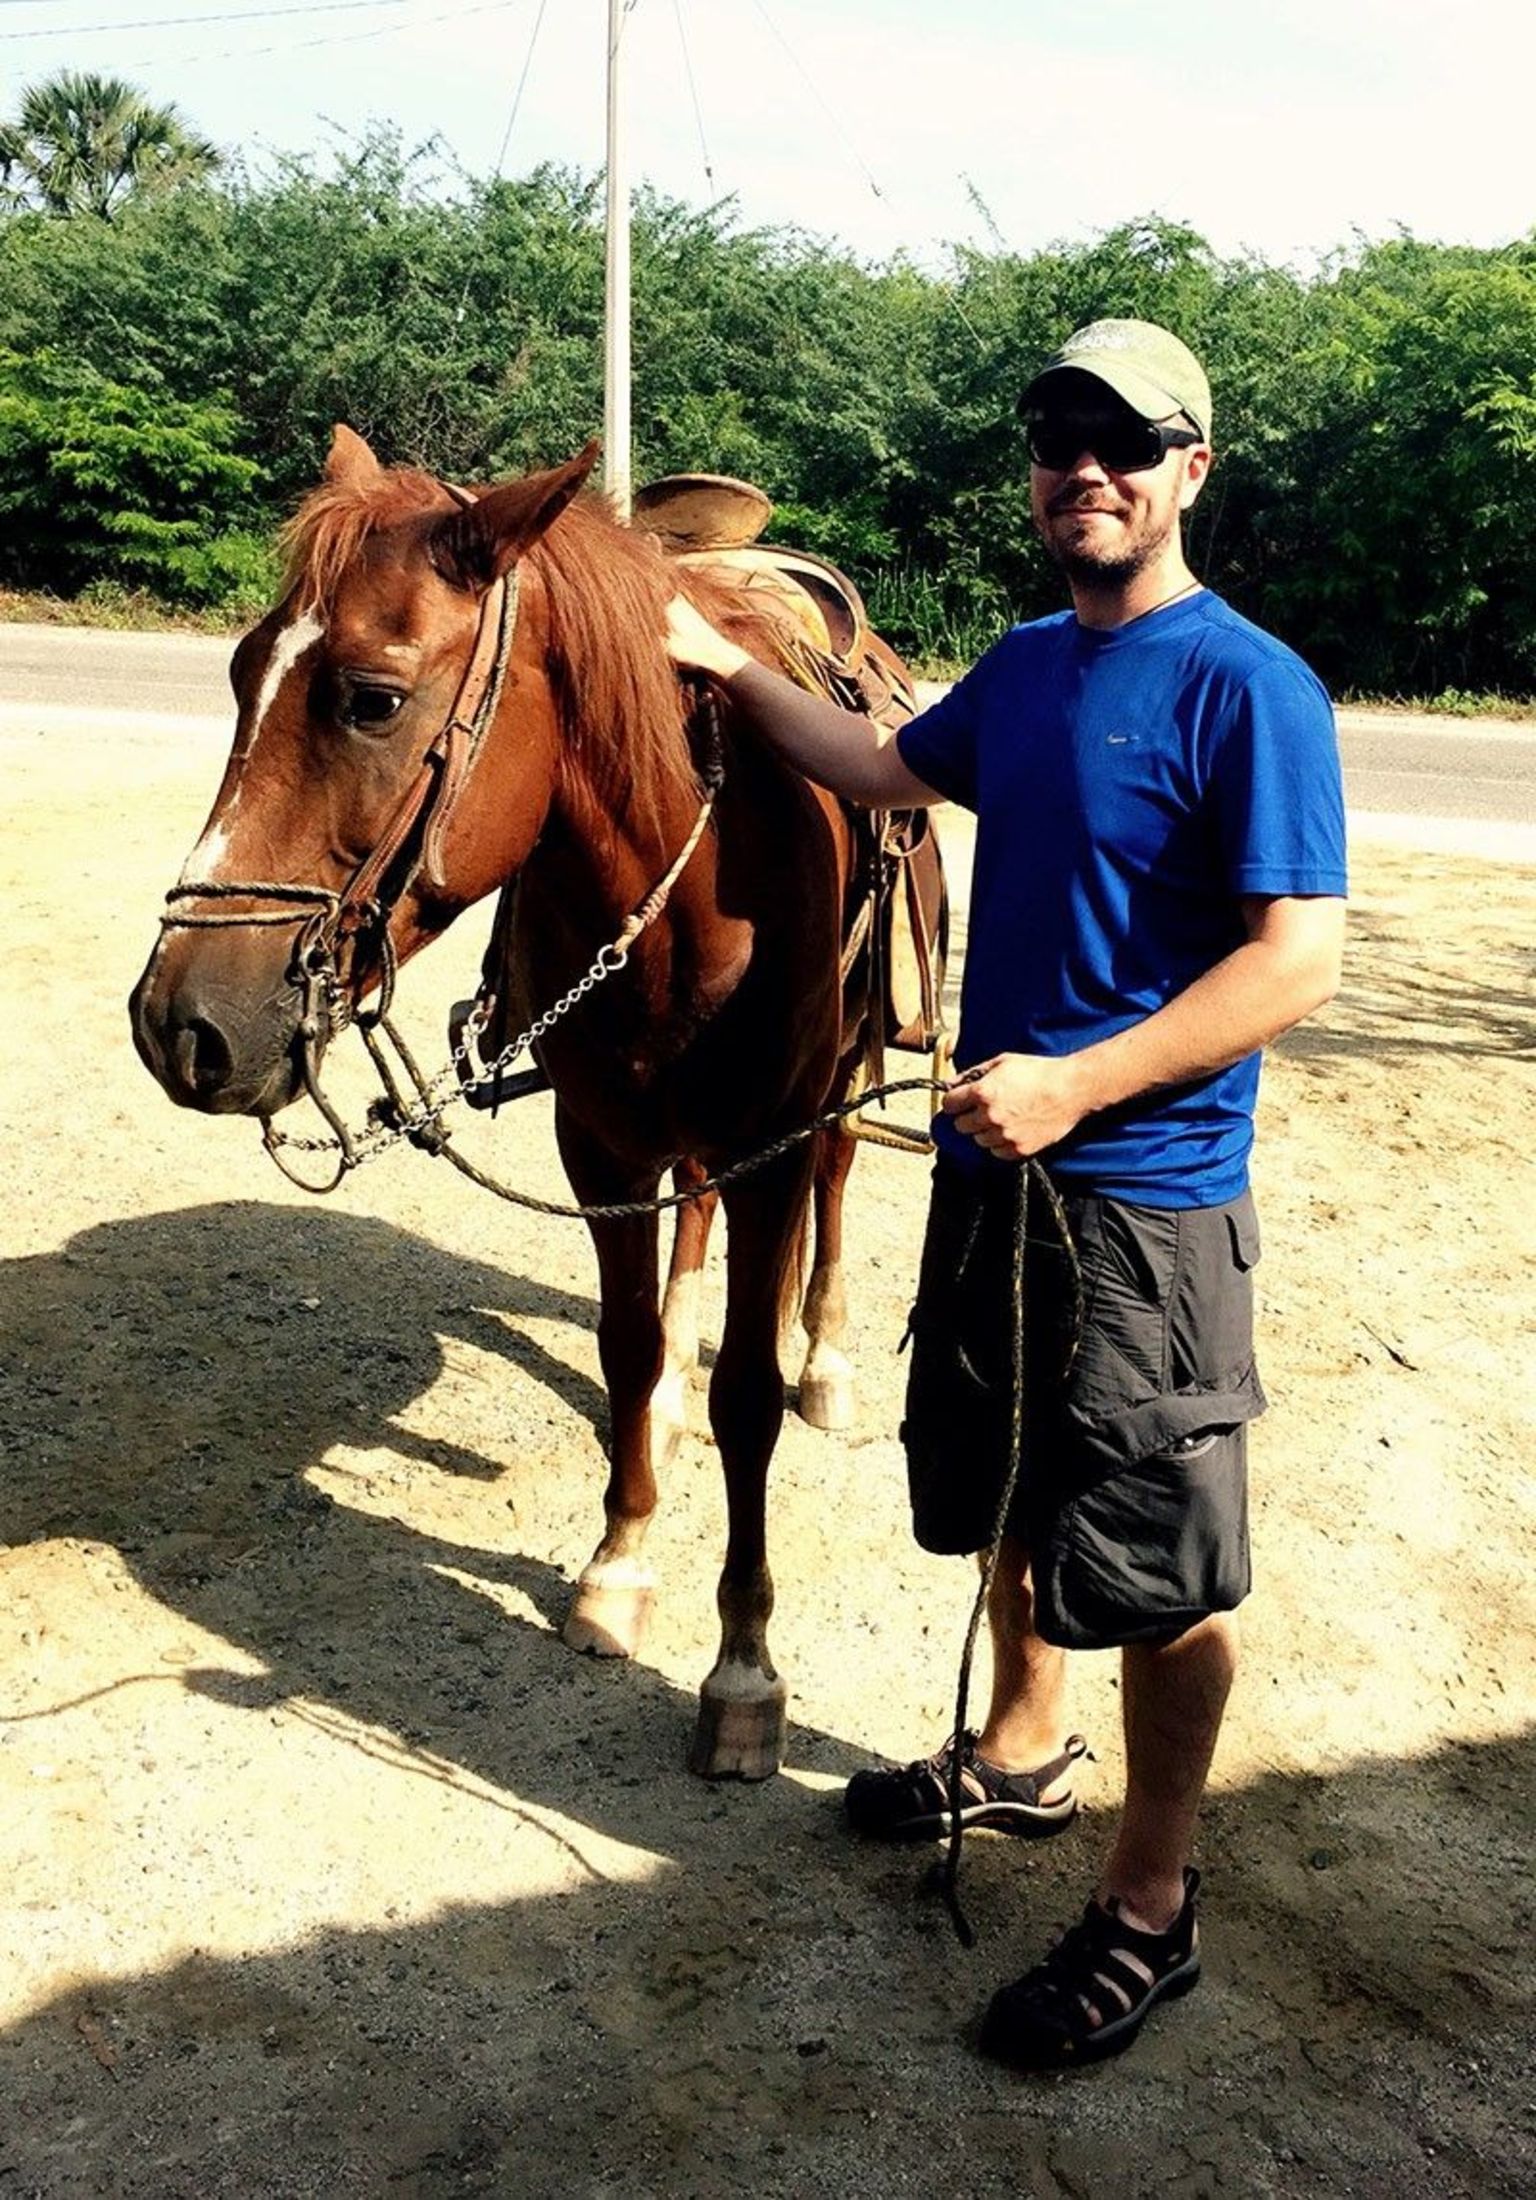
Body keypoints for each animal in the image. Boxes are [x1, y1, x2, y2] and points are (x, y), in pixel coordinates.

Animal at [134, 433, 897, 1786]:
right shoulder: (600, 1145)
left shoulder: (768, 1148)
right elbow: (627, 1347)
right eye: (238, 673)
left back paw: (829, 1357)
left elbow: (749, 1399)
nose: (180, 1024)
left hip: (848, 1077)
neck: (693, 883)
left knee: (841, 1179)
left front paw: (743, 1668)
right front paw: (620, 1559)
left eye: (372, 699)